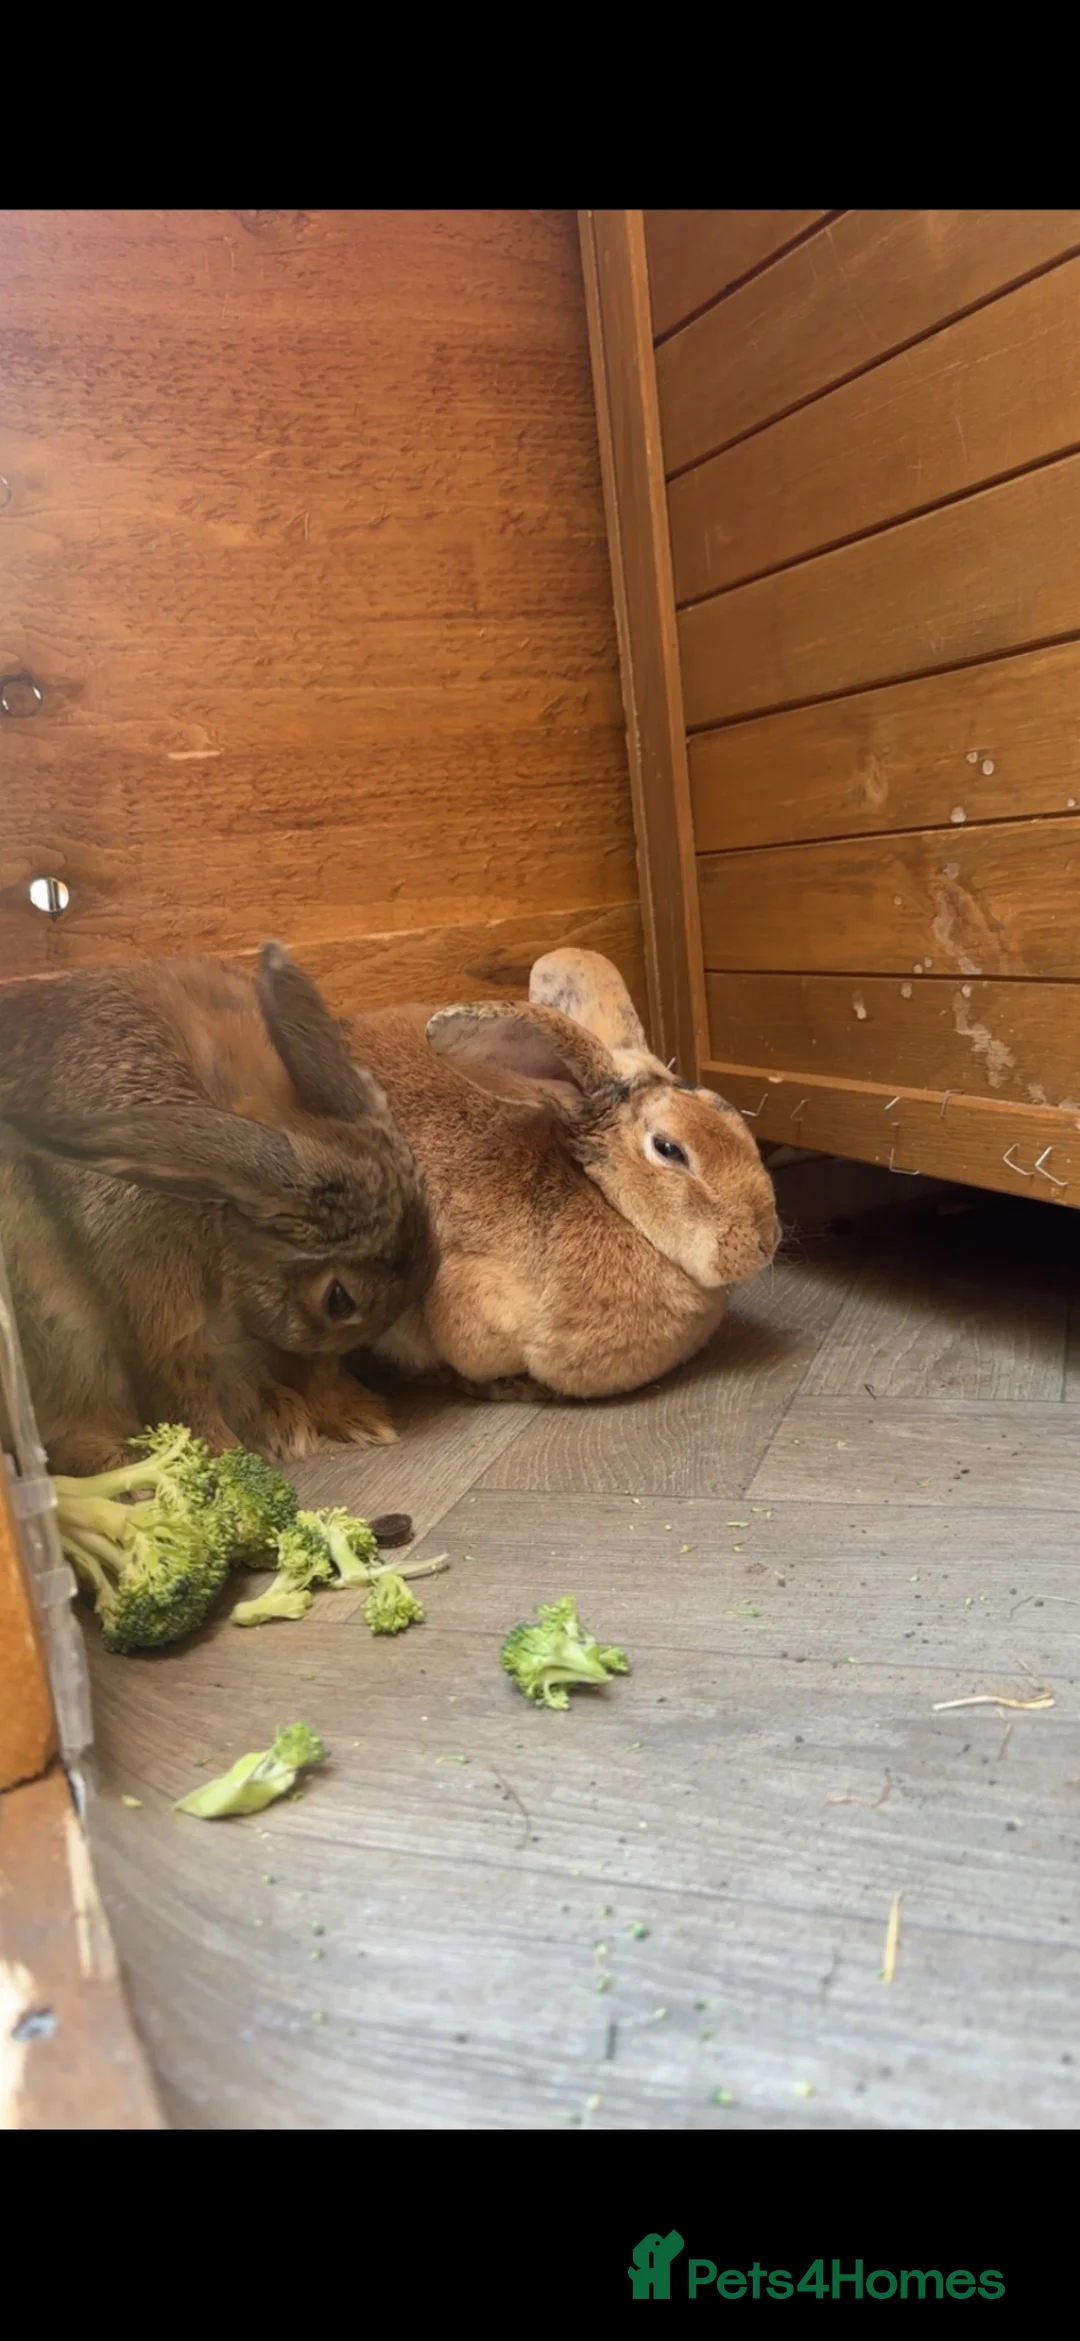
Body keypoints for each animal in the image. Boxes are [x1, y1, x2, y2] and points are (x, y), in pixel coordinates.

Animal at [0, 942, 433, 1476]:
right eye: (339, 1299)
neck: (218, 1209)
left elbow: (313, 1366)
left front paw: (362, 1419)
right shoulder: (161, 1312)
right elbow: (181, 1383)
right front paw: (219, 1459)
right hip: (55, 1331)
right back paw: (128, 1465)